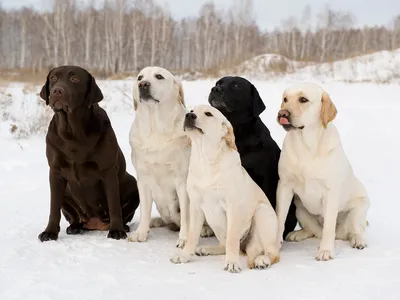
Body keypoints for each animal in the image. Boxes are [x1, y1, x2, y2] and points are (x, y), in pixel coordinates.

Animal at [129, 67, 212, 247]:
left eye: (159, 76)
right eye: (140, 77)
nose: (143, 84)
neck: (156, 128)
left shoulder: (182, 180)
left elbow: (186, 215)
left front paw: (185, 238)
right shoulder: (143, 179)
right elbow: (144, 209)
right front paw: (140, 232)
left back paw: (204, 229)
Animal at [170, 105, 280, 272]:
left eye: (208, 114)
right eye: (192, 110)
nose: (189, 115)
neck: (206, 160)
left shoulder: (232, 207)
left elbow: (232, 239)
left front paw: (232, 263)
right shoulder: (196, 206)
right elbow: (192, 236)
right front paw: (184, 256)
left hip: (262, 212)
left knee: (272, 253)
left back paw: (262, 260)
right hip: (214, 222)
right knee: (225, 244)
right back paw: (206, 249)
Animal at [276, 82, 370, 260]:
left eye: (303, 99)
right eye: (285, 99)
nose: (282, 113)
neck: (306, 144)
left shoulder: (330, 191)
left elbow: (329, 227)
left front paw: (325, 251)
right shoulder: (284, 186)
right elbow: (279, 217)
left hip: (359, 208)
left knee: (353, 230)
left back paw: (358, 240)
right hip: (300, 209)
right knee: (315, 232)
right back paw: (298, 233)